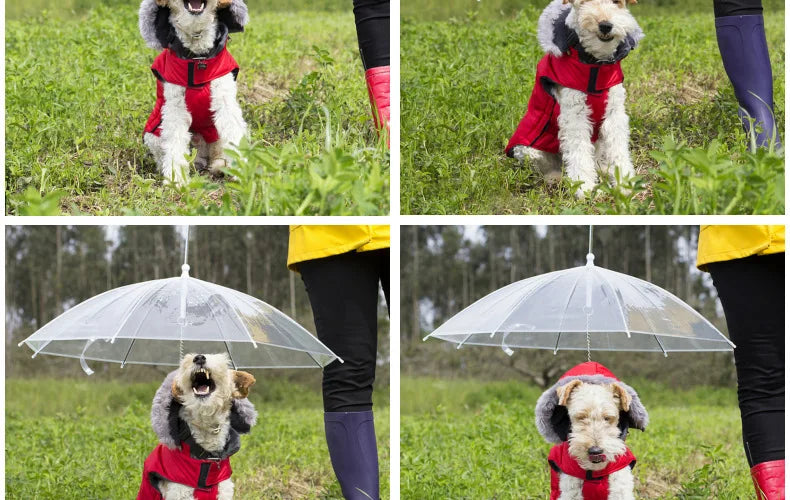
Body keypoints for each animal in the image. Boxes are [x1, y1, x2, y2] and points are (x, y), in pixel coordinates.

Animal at [136, 0, 248, 186]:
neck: (197, 57)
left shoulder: (225, 100)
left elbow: (233, 133)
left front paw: (243, 171)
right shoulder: (175, 107)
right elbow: (175, 142)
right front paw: (176, 179)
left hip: (214, 133)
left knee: (217, 152)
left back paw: (220, 167)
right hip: (154, 134)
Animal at [510, 0, 648, 197]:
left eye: (617, 2)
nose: (605, 25)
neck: (595, 65)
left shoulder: (614, 114)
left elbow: (619, 150)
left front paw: (626, 184)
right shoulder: (575, 115)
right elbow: (579, 152)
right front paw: (585, 188)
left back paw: (603, 170)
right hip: (527, 150)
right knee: (549, 168)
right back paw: (557, 179)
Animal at [540, 364, 648, 500]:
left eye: (607, 418)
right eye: (581, 417)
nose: (595, 451)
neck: (594, 472)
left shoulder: (620, 486)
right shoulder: (570, 490)